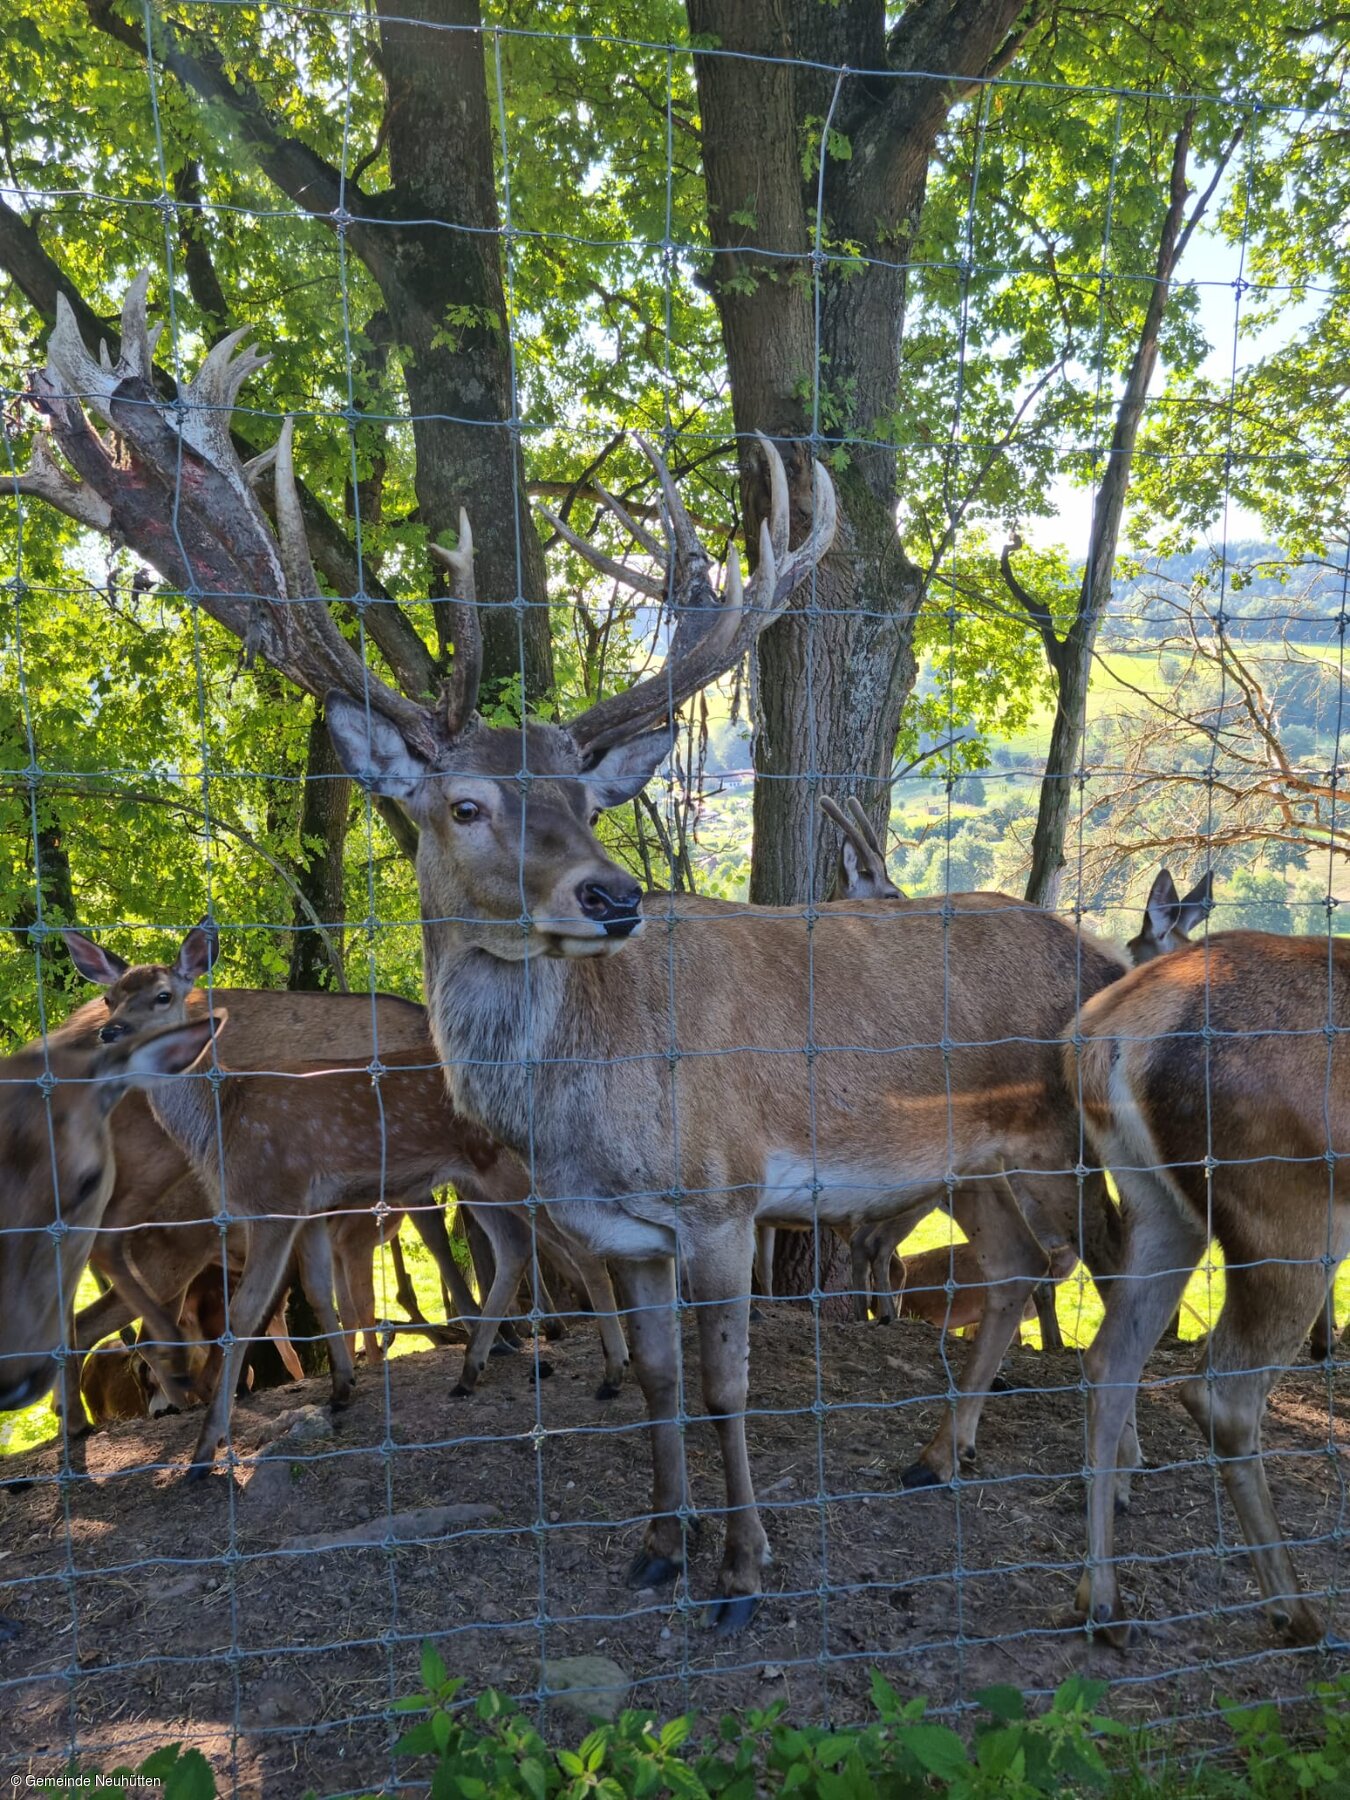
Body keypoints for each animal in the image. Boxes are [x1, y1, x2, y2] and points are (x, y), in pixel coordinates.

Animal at [1072, 936, 1346, 1648]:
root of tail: (1107, 1036)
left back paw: (1101, 1600)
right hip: (1293, 1215)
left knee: (1109, 1358)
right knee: (1222, 1395)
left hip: (1159, 1205)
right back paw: (1294, 1610)